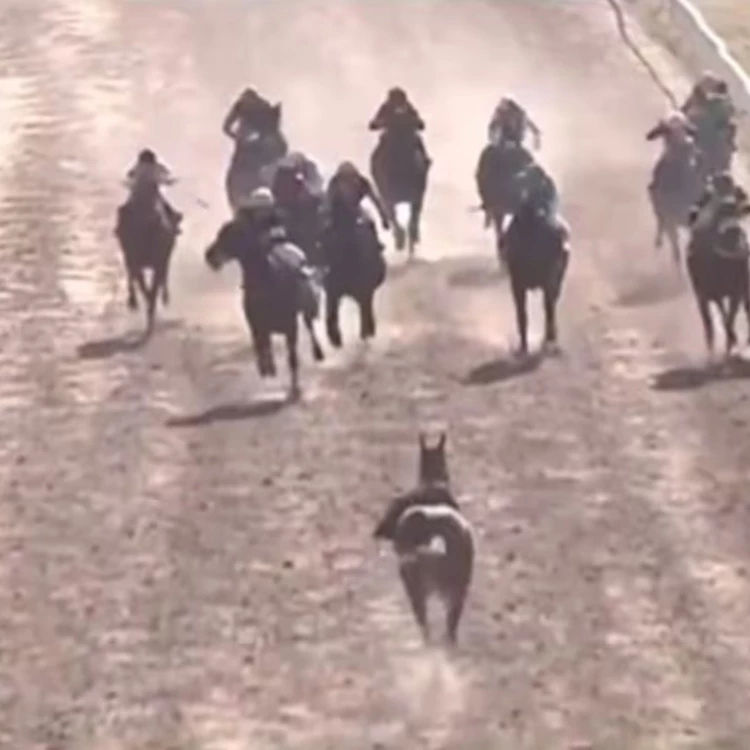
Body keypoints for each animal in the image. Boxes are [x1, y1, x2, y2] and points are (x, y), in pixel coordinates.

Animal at [204, 216, 324, 400]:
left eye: (232, 234)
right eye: (220, 232)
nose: (209, 255)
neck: (268, 278)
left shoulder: (291, 327)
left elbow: (292, 358)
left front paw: (295, 389)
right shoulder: (255, 322)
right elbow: (261, 344)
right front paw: (266, 367)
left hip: (307, 312)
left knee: (310, 328)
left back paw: (318, 352)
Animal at [320, 209, 388, 350]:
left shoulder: (364, 292)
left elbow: (365, 311)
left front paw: (367, 332)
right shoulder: (333, 291)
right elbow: (331, 313)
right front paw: (335, 337)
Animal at [506, 198, 568, 354]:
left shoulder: (519, 284)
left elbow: (525, 313)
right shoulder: (520, 284)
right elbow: (525, 313)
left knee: (547, 307)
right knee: (548, 307)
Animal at [688, 204, 750, 356]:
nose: (732, 230)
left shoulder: (736, 293)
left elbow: (729, 316)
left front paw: (731, 341)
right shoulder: (711, 295)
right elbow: (723, 317)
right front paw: (731, 341)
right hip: (705, 297)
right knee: (709, 322)